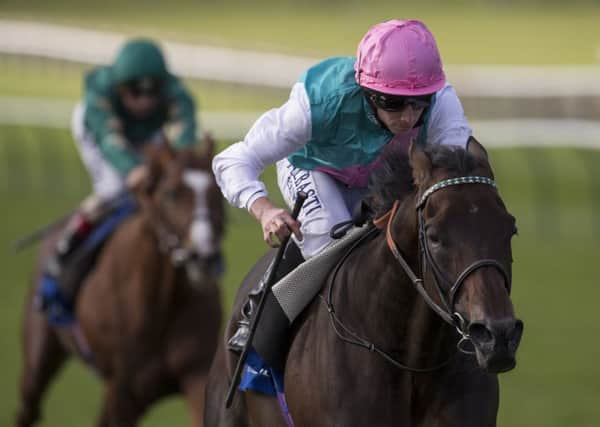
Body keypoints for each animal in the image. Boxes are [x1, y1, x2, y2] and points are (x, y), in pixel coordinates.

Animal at [18, 139, 226, 426]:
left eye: (217, 192)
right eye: (171, 193)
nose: (203, 256)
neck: (161, 306)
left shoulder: (196, 373)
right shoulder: (123, 390)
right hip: (39, 354)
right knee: (29, 405)